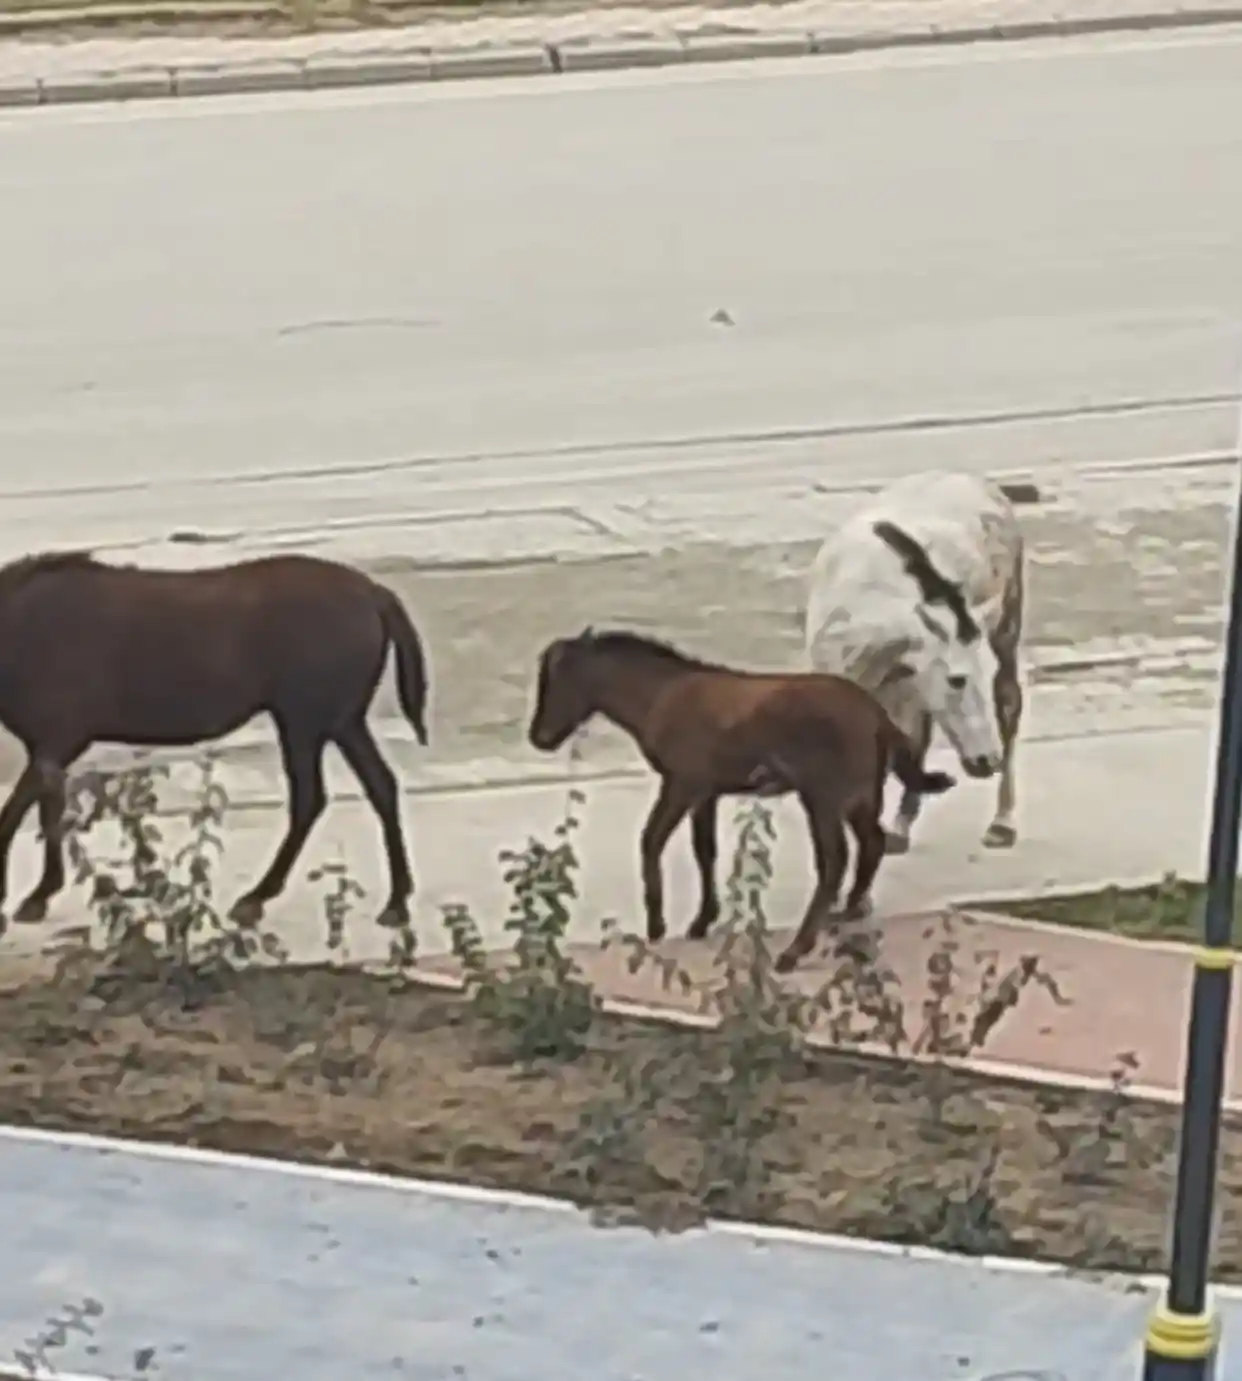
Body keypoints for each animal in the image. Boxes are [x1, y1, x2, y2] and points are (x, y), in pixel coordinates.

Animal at [0, 555, 431, 933]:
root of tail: (374, 593)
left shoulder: (59, 739)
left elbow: (17, 812)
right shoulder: (49, 746)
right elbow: (48, 813)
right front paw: (40, 893)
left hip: (306, 721)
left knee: (311, 798)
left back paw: (257, 898)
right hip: (343, 722)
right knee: (380, 787)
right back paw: (396, 901)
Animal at [524, 632, 950, 977]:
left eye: (556, 680)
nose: (538, 738)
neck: (663, 694)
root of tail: (875, 712)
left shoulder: (682, 784)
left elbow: (651, 840)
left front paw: (657, 925)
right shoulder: (706, 791)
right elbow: (704, 850)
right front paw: (701, 921)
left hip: (823, 797)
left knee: (834, 860)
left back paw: (796, 950)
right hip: (861, 795)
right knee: (871, 844)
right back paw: (846, 915)